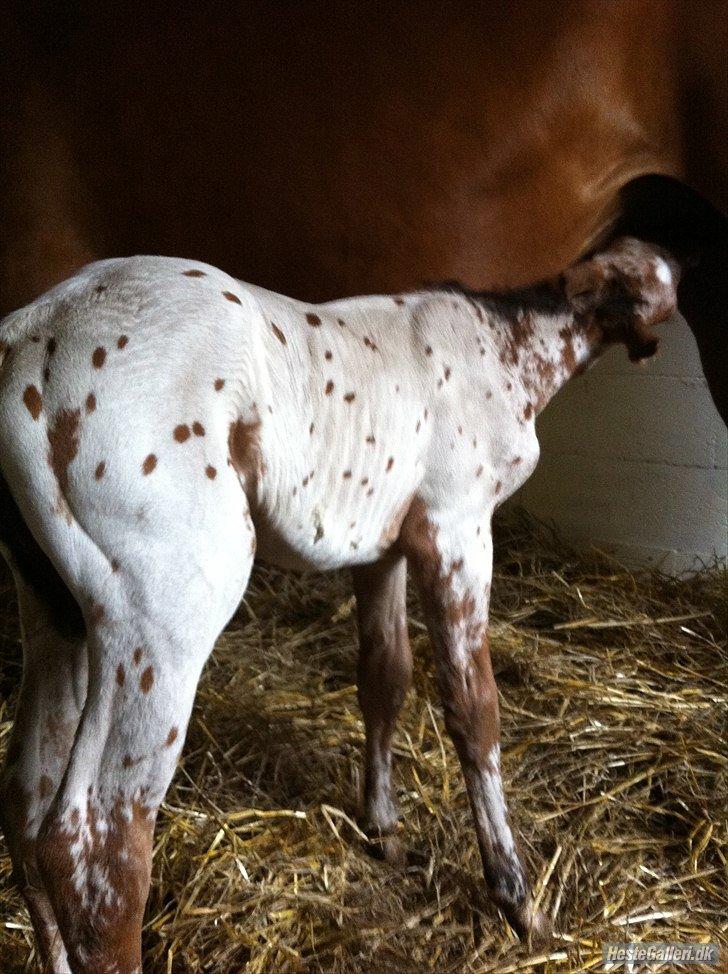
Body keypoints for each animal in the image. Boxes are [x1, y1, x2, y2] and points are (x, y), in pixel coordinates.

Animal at [0, 238, 680, 974]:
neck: (504, 349)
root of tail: (28, 339)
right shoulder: (457, 527)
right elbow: (475, 710)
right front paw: (517, 898)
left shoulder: (381, 547)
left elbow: (385, 678)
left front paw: (383, 828)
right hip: (164, 613)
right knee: (97, 836)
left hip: (60, 614)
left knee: (29, 805)